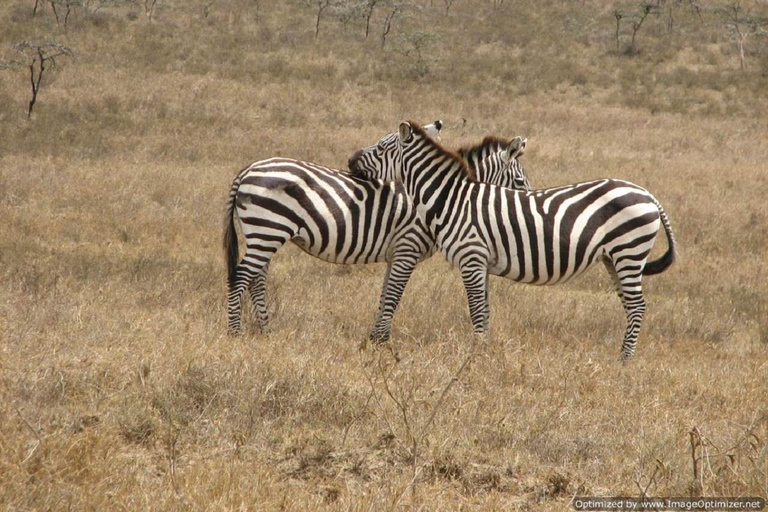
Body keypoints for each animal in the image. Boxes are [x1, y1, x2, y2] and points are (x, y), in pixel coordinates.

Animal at [225, 122, 532, 342]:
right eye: (519, 182)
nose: (529, 211)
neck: (443, 195)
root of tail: (248, 169)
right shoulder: (407, 247)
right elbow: (394, 293)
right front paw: (382, 340)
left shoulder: (396, 253)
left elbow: (386, 292)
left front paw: (374, 337)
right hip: (267, 229)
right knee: (241, 277)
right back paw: (234, 333)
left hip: (263, 233)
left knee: (256, 279)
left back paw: (265, 330)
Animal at [348, 120, 680, 362]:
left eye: (381, 147)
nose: (350, 159)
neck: (452, 199)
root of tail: (648, 194)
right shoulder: (481, 262)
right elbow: (484, 310)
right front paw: (485, 349)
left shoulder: (471, 256)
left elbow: (476, 310)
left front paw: (478, 354)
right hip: (615, 258)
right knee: (629, 304)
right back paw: (621, 355)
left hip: (629, 251)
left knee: (637, 306)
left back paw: (624, 361)